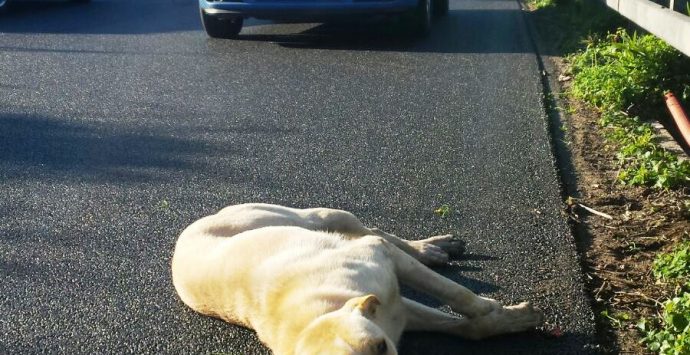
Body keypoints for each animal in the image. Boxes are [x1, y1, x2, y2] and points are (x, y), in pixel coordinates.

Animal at [172, 204, 544, 354]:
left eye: (379, 348)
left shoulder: (382, 263)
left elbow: (459, 296)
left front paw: (498, 309)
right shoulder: (399, 313)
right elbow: (468, 327)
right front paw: (507, 320)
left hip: (309, 217)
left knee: (375, 231)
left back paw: (432, 247)